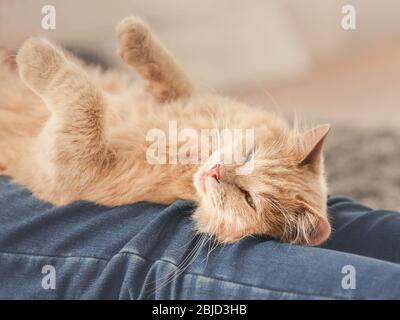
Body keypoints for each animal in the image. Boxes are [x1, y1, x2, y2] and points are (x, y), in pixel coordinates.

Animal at [0, 15, 332, 245]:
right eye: (249, 155)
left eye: (248, 198)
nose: (216, 172)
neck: (190, 157)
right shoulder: (183, 96)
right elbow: (172, 74)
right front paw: (133, 36)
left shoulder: (72, 166)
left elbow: (84, 95)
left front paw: (34, 54)